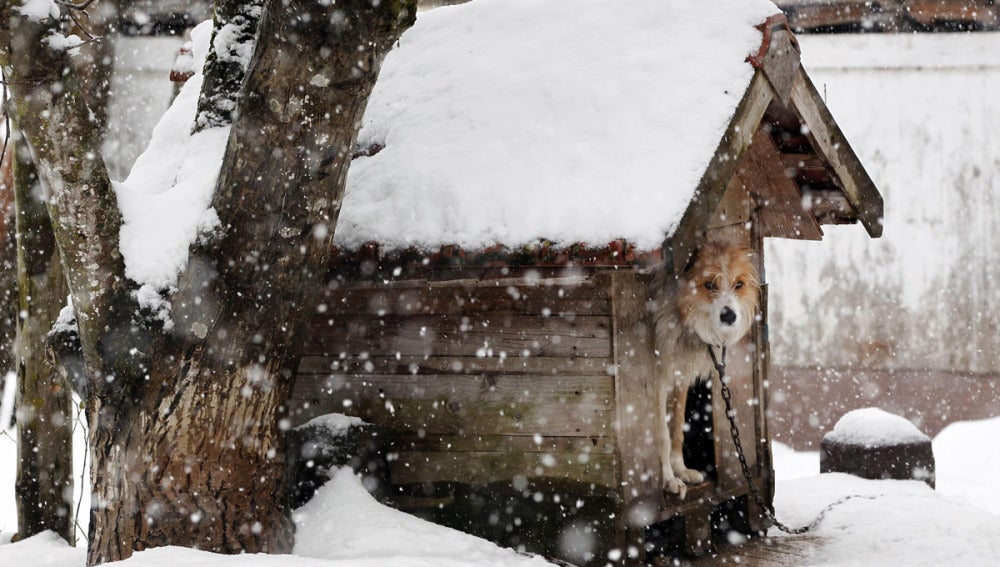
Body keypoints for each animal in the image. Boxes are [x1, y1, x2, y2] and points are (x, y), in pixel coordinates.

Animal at [648, 240, 756, 496]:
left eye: (738, 284)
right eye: (709, 284)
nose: (729, 316)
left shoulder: (680, 377)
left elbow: (677, 427)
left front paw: (681, 469)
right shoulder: (658, 381)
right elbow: (662, 435)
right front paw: (669, 478)